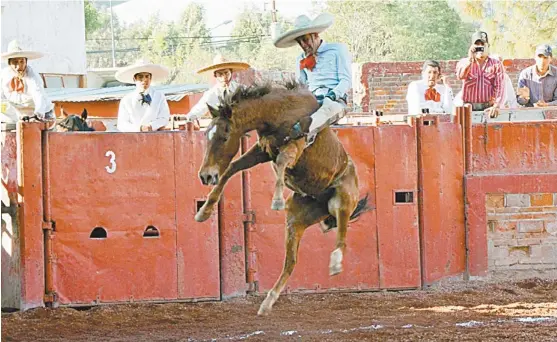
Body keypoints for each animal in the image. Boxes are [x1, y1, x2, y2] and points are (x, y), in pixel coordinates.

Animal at [193, 82, 368, 316]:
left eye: (224, 136)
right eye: (206, 135)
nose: (205, 176)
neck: (278, 114)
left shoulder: (296, 145)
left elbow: (282, 160)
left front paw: (276, 199)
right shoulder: (261, 151)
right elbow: (232, 168)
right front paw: (204, 211)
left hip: (343, 201)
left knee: (342, 236)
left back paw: (336, 263)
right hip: (295, 220)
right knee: (291, 262)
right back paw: (268, 301)